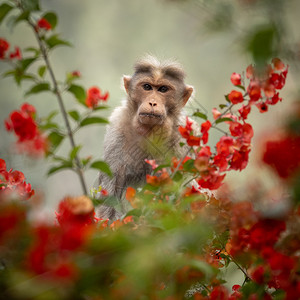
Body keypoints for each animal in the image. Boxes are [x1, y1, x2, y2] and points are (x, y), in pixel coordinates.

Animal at [94, 55, 195, 220]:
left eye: (163, 89)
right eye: (147, 87)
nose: (152, 102)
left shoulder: (183, 139)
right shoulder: (116, 130)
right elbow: (110, 198)